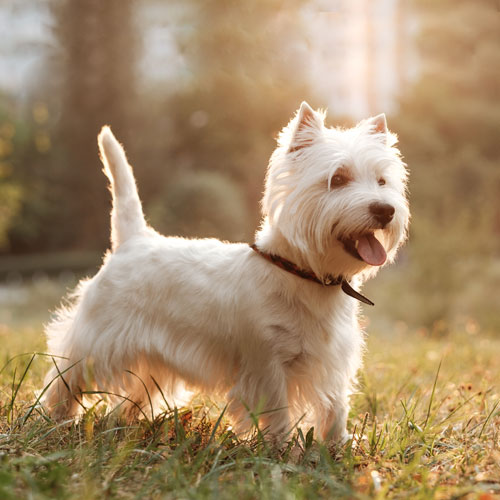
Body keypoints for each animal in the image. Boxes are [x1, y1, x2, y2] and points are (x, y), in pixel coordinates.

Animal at [42, 100, 410, 442]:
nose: (385, 210)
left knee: (135, 391)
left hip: (151, 355)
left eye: (382, 181)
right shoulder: (266, 363)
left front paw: (338, 446)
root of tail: (133, 239)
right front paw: (282, 449)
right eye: (338, 178)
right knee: (66, 376)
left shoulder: (332, 361)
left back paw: (128, 423)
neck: (304, 273)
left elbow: (335, 407)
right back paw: (55, 420)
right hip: (97, 338)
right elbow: (277, 410)